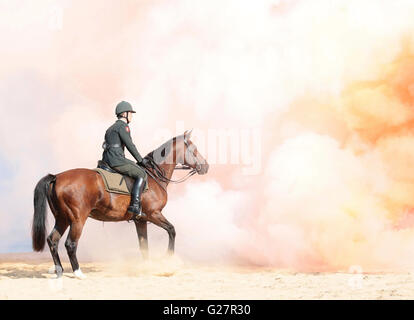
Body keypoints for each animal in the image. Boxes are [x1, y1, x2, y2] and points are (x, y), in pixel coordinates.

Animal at [30, 129, 209, 278]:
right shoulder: (154, 214)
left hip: (62, 218)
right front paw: (169, 259)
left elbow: (144, 246)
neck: (154, 175)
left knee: (53, 240)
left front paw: (147, 267)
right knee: (70, 244)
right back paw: (78, 273)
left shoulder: (141, 220)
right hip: (77, 220)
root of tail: (56, 177)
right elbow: (172, 230)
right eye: (194, 150)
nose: (206, 166)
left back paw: (59, 271)